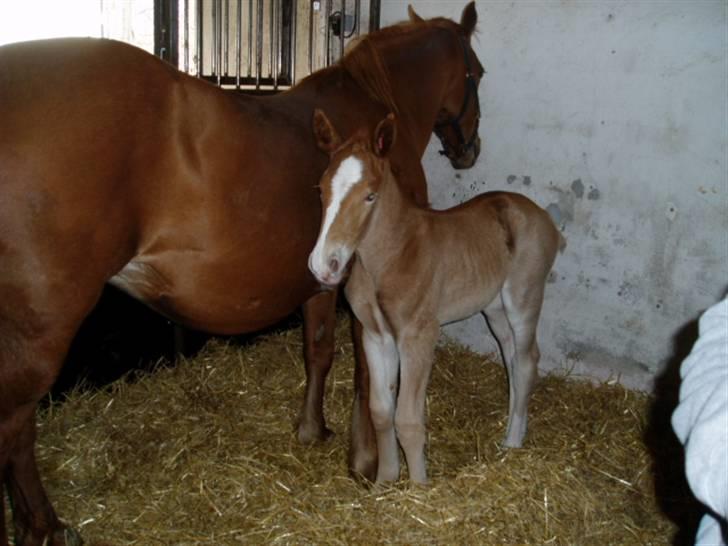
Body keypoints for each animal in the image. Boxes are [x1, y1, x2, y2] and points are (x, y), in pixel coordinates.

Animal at [310, 109, 564, 480]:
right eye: (321, 189)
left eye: (370, 195)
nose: (323, 265)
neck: (390, 256)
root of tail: (544, 216)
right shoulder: (376, 336)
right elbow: (381, 412)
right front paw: (386, 480)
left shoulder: (418, 336)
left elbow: (408, 420)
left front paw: (419, 486)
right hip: (493, 308)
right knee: (512, 358)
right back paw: (509, 435)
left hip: (523, 298)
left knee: (528, 359)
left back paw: (514, 441)